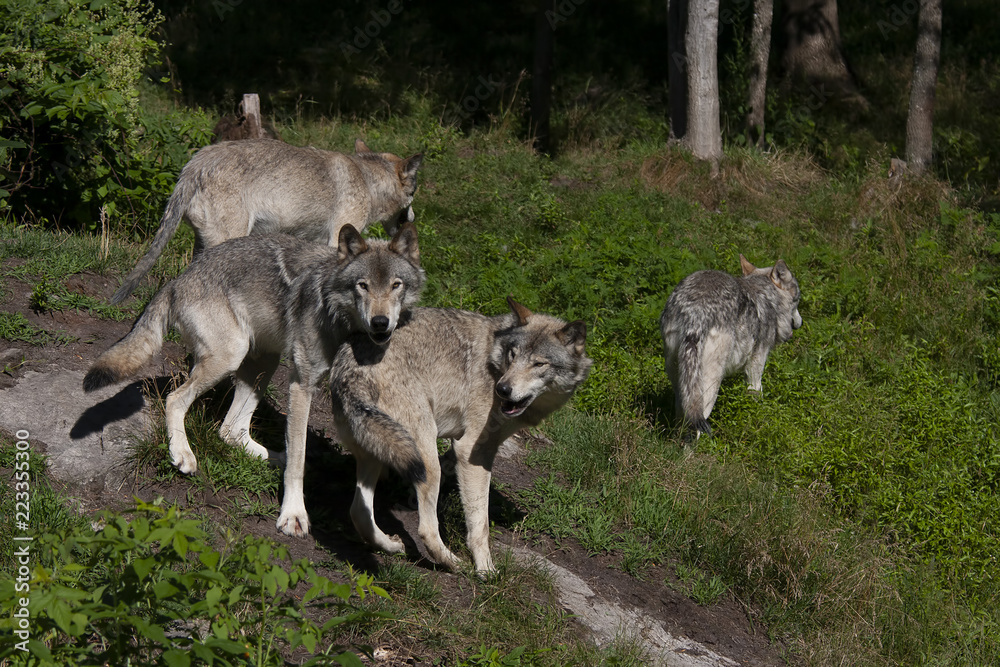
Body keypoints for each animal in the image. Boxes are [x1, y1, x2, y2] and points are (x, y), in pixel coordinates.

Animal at [84, 223, 425, 537]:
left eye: (396, 285)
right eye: (362, 286)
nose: (380, 323)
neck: (341, 321)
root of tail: (178, 279)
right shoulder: (302, 386)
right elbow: (298, 460)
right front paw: (293, 515)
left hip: (264, 361)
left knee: (230, 431)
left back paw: (273, 457)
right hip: (230, 357)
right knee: (176, 400)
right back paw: (183, 454)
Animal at [328, 297, 592, 574]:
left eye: (539, 363)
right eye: (513, 355)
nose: (502, 389)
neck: (495, 361)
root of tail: (350, 369)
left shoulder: (461, 447)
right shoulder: (474, 452)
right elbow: (480, 524)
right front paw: (486, 569)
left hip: (378, 454)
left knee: (359, 512)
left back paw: (392, 546)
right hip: (425, 459)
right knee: (426, 529)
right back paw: (455, 564)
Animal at [660, 255, 802, 439]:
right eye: (797, 300)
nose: (800, 323)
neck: (768, 298)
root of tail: (696, 312)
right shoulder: (755, 368)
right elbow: (756, 397)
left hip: (682, 388)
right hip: (709, 387)